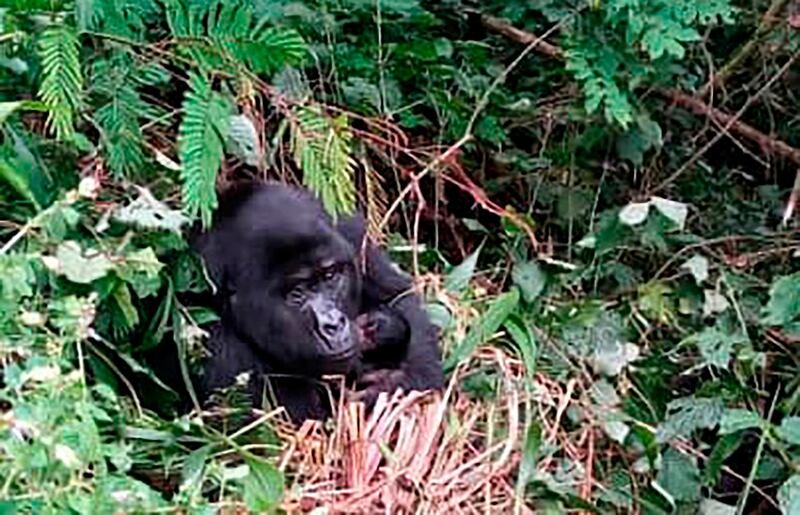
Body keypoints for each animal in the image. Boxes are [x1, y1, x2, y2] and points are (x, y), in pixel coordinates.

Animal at [192, 183, 444, 422]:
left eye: (329, 276)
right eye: (296, 294)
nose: (334, 324)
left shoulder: (349, 230)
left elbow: (399, 296)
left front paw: (399, 380)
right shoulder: (218, 344)